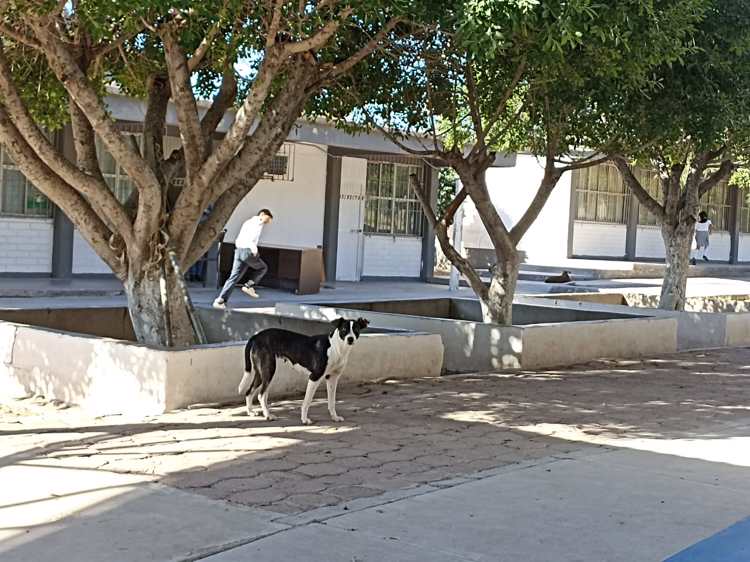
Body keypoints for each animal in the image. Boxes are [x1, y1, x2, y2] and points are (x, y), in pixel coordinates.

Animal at [239, 318, 368, 422]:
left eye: (356, 329)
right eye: (344, 329)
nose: (350, 339)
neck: (336, 347)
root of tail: (256, 336)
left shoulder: (332, 378)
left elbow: (332, 402)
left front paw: (334, 417)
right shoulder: (314, 377)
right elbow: (307, 401)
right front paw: (304, 419)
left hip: (260, 373)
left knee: (249, 391)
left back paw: (250, 412)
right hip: (269, 370)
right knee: (261, 395)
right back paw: (268, 415)